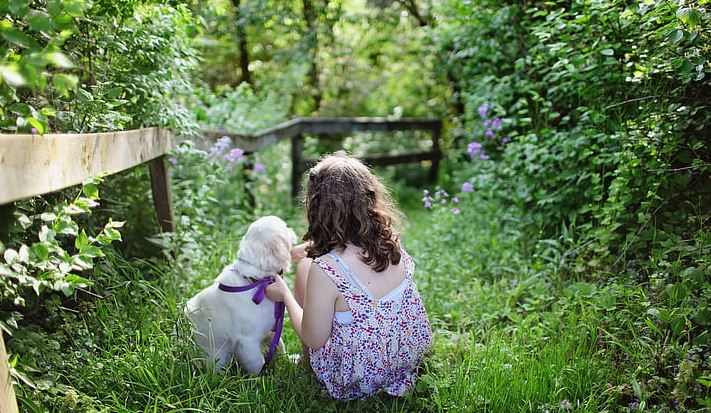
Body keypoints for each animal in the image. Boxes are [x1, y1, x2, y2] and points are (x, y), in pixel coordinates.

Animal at [185, 216, 296, 374]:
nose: (292, 229)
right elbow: (258, 363)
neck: (255, 281)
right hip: (217, 357)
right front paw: (262, 377)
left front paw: (289, 360)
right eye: (285, 227)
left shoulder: (272, 329)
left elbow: (280, 346)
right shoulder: (248, 341)